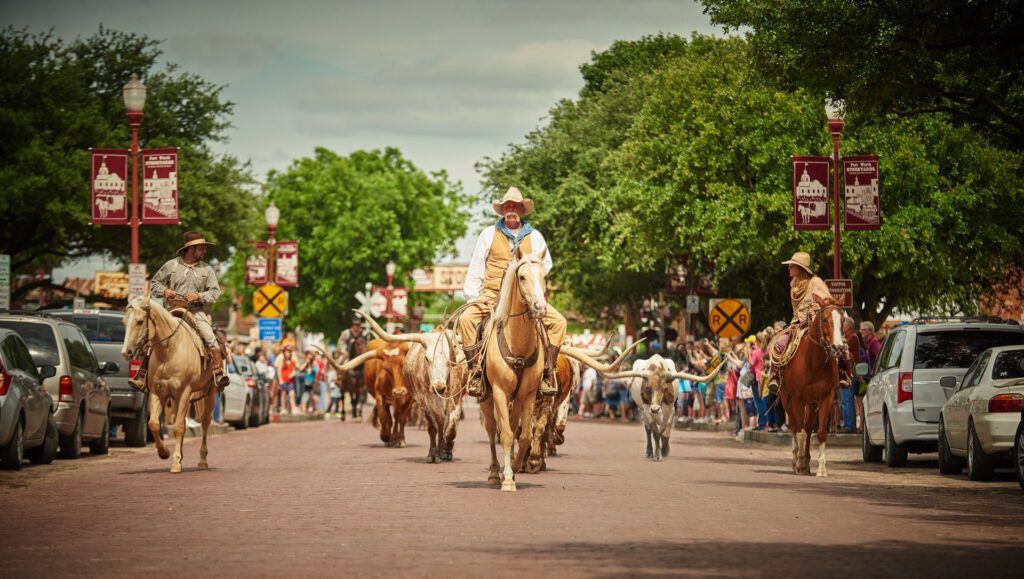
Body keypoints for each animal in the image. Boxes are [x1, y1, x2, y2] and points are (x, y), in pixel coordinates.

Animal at [122, 295, 218, 471]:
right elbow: (153, 424)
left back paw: (202, 460)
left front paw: (175, 463)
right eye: (124, 322)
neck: (169, 350)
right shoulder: (157, 392)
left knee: (205, 422)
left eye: (140, 321)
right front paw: (164, 453)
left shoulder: (185, 393)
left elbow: (179, 427)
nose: (126, 352)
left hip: (210, 393)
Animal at [778, 295, 843, 475]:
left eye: (842, 320)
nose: (838, 347)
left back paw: (807, 462)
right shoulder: (797, 399)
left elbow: (820, 433)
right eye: (825, 319)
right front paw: (799, 463)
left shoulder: (826, 398)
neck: (813, 362)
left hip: (812, 404)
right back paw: (796, 460)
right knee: (795, 427)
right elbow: (799, 433)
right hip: (787, 400)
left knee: (807, 429)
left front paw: (821, 468)